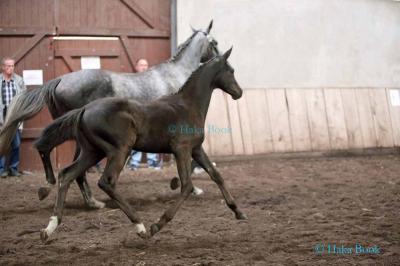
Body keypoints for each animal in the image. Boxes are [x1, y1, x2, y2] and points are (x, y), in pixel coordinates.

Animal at [35, 47, 247, 241]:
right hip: (120, 150)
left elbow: (216, 175)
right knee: (106, 182)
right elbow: (186, 185)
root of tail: (84, 109)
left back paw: (50, 227)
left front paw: (238, 212)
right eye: (231, 70)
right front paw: (158, 224)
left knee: (67, 175)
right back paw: (140, 225)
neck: (188, 105)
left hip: (92, 152)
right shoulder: (182, 149)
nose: (239, 92)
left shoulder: (196, 149)